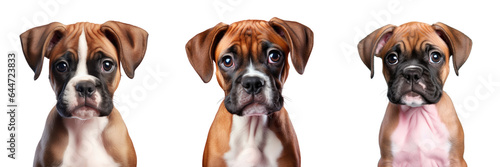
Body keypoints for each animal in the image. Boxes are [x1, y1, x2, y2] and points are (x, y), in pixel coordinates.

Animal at [358, 21, 470, 166]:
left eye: (435, 57)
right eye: (392, 58)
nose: (412, 73)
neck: (417, 112)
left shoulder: (455, 160)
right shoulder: (387, 161)